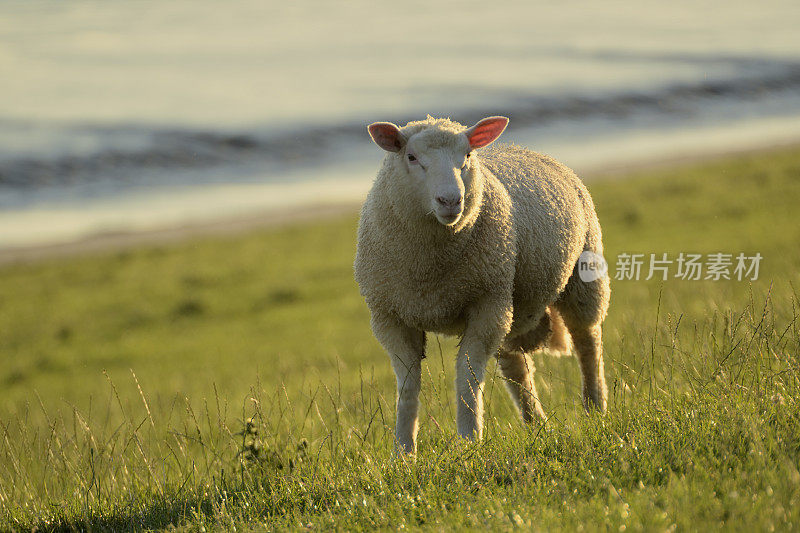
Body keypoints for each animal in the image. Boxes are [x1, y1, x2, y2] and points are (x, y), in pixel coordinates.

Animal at [354, 114, 608, 450]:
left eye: (467, 155)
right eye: (411, 157)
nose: (451, 200)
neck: (429, 270)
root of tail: (526, 149)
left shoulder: (485, 306)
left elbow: (467, 375)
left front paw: (468, 440)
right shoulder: (389, 318)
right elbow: (408, 386)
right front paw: (404, 451)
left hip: (580, 278)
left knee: (588, 344)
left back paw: (595, 408)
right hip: (510, 307)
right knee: (516, 366)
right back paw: (536, 422)